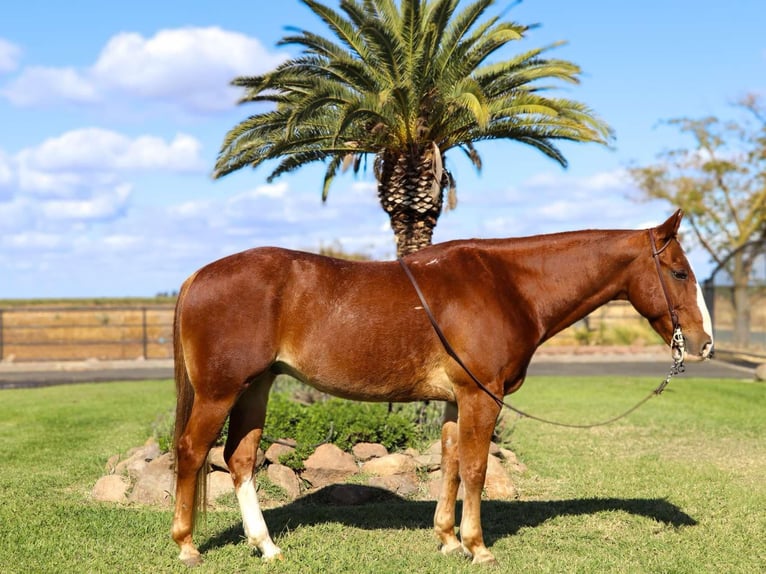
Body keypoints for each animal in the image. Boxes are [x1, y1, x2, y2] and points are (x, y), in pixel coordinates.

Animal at [170, 209, 713, 566]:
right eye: (679, 272)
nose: (704, 343)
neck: (506, 285)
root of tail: (197, 275)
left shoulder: (456, 401)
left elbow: (450, 464)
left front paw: (448, 540)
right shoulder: (482, 397)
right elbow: (475, 469)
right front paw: (478, 547)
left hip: (255, 387)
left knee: (239, 457)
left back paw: (266, 546)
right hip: (220, 392)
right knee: (192, 451)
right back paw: (187, 546)